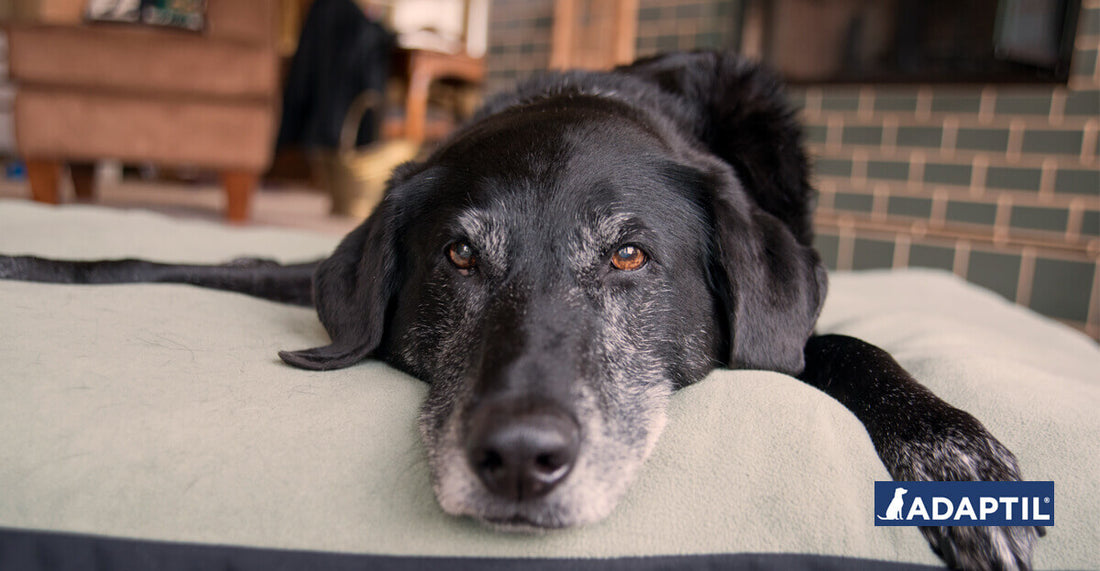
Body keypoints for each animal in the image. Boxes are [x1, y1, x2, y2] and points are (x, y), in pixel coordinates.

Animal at [0, 51, 1038, 567]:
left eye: (629, 254)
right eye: (459, 254)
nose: (519, 461)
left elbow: (848, 344)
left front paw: (954, 457)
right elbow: (156, 258)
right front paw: (30, 260)